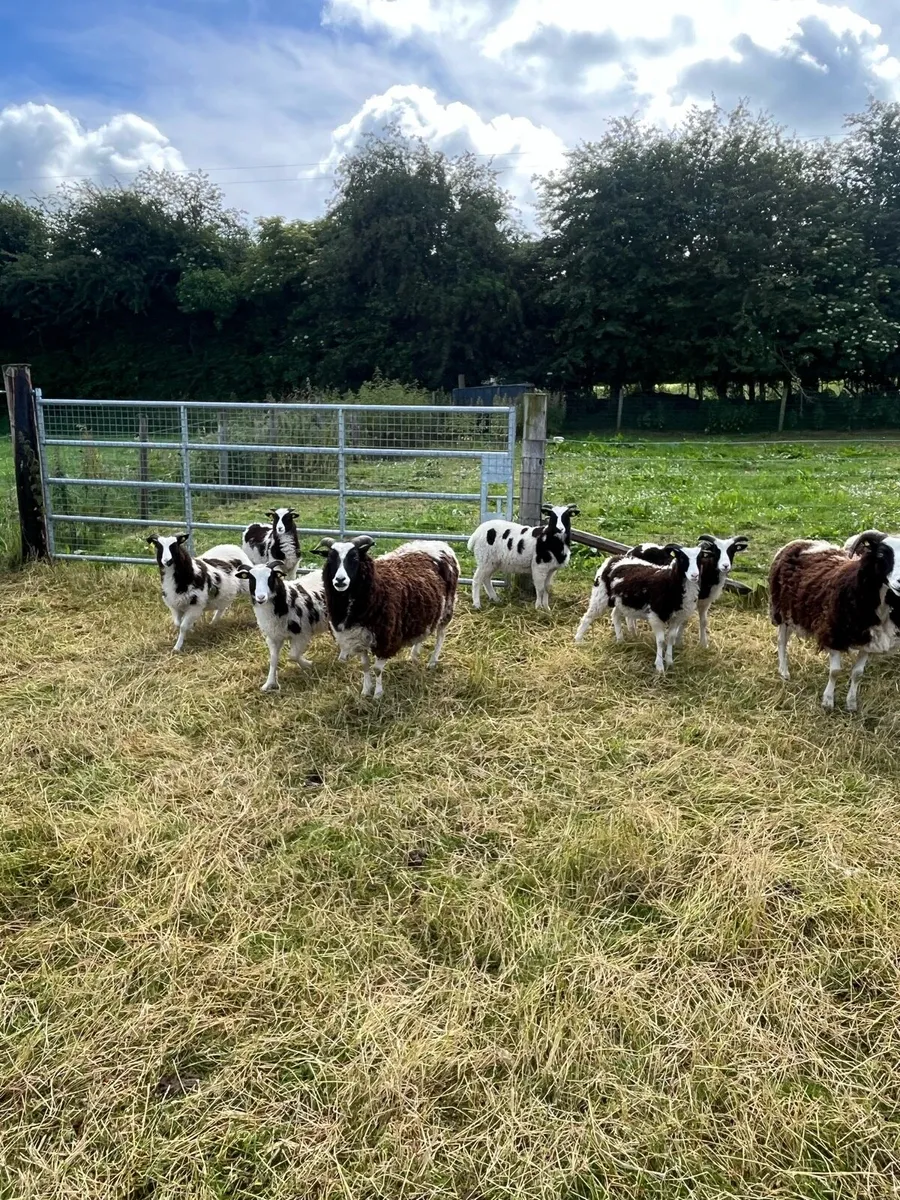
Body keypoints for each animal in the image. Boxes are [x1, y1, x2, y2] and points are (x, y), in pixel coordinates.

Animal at [235, 562, 329, 691]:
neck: (284, 602)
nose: (261, 597)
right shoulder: (273, 637)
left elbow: (293, 656)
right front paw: (269, 684)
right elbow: (273, 660)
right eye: (251, 578)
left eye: (271, 577)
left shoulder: (302, 634)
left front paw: (307, 664)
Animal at [312, 535, 459, 699]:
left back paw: (433, 661)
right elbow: (365, 666)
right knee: (424, 631)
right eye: (330, 558)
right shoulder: (358, 639)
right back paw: (414, 655)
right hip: (424, 611)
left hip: (447, 607)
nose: (339, 580)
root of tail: (438, 543)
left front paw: (377, 694)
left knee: (441, 635)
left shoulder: (385, 639)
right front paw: (365, 691)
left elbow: (377, 669)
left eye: (354, 557)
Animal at [576, 544, 708, 672]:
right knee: (587, 617)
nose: (695, 575)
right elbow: (661, 641)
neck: (670, 581)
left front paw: (670, 662)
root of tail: (614, 558)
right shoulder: (655, 615)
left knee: (615, 615)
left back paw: (620, 640)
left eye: (699, 559)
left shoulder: (677, 617)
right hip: (601, 595)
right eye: (682, 558)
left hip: (621, 601)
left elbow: (671, 638)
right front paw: (659, 666)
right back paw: (578, 640)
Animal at [771, 531, 900, 710]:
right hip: (782, 611)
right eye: (881, 554)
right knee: (782, 642)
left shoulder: (869, 640)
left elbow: (858, 674)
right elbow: (835, 672)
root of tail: (802, 541)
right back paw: (784, 671)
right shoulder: (833, 633)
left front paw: (851, 704)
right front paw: (828, 702)